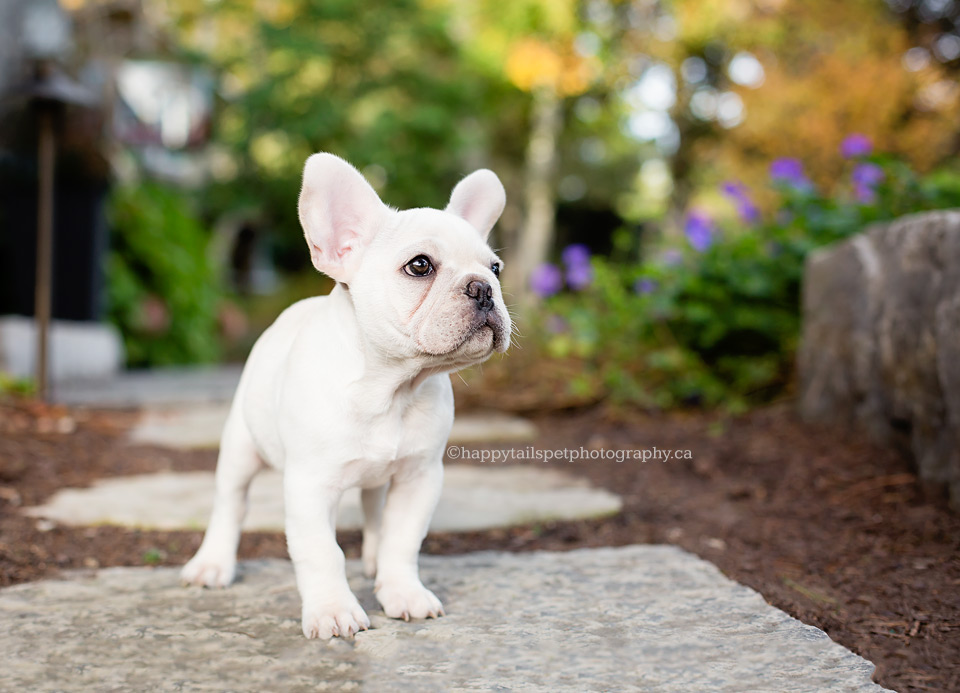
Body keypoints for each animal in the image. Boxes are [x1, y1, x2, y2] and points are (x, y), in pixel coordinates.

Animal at [180, 153, 510, 636]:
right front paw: (333, 610)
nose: (483, 287)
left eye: (495, 268)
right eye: (420, 266)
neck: (390, 387)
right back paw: (212, 565)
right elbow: (321, 552)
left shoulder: (419, 477)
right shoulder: (310, 486)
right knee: (230, 504)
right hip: (240, 448)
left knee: (374, 511)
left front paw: (403, 592)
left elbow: (402, 540)